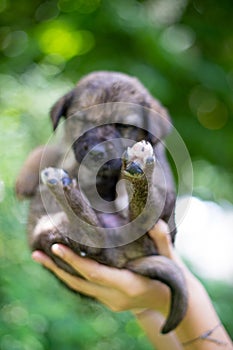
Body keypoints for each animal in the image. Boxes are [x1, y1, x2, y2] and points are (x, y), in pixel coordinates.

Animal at [15, 71, 187, 334]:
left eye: (123, 126)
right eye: (82, 119)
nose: (96, 153)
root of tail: (127, 260)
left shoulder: (163, 201)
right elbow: (50, 149)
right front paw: (25, 179)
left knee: (101, 236)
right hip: (47, 231)